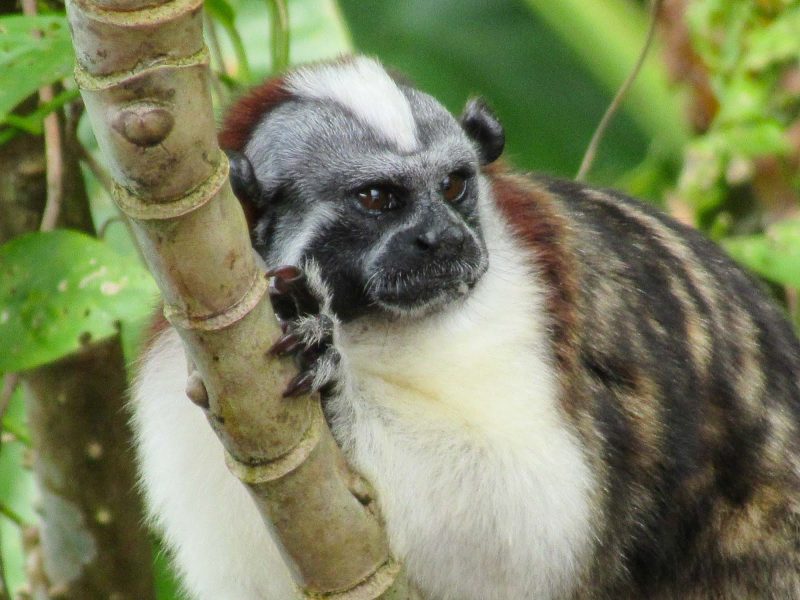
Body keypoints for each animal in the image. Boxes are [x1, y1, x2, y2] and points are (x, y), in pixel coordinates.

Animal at [132, 56, 800, 599]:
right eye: (377, 198)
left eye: (453, 186)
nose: (444, 238)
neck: (367, 324)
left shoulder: (522, 304)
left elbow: (527, 526)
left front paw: (330, 382)